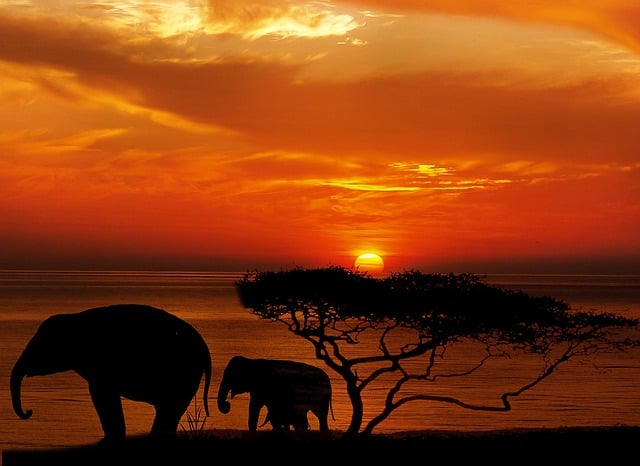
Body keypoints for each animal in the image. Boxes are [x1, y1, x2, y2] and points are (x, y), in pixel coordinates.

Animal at [11, 303, 212, 443]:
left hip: (183, 374)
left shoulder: (101, 368)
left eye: (39, 346)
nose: (29, 411)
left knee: (169, 408)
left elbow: (102, 397)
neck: (75, 319)